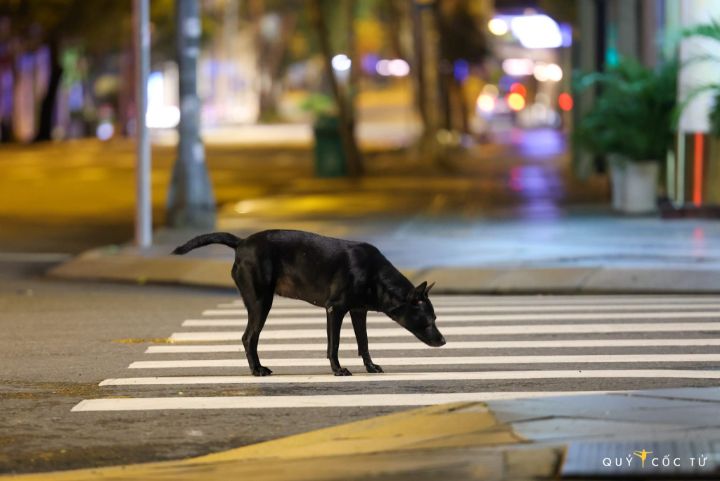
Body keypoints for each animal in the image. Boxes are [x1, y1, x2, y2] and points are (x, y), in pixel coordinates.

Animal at [174, 231, 444, 376]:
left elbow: (364, 343)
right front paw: (338, 370)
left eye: (436, 319)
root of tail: (241, 243)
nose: (443, 341)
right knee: (248, 337)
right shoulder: (335, 310)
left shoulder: (359, 312)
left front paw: (370, 366)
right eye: (429, 320)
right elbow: (333, 345)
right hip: (261, 302)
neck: (375, 275)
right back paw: (257, 369)